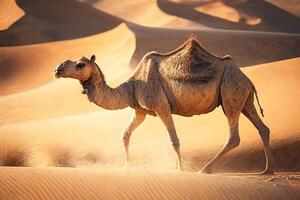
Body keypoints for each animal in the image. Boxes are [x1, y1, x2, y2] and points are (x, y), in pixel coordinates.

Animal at [52, 38, 274, 174]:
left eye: (80, 64)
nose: (58, 68)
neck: (131, 86)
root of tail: (248, 80)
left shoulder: (160, 106)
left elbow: (174, 140)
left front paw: (180, 169)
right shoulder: (140, 111)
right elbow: (125, 133)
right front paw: (126, 167)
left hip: (230, 93)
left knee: (234, 136)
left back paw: (205, 169)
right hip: (244, 99)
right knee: (263, 128)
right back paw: (266, 170)